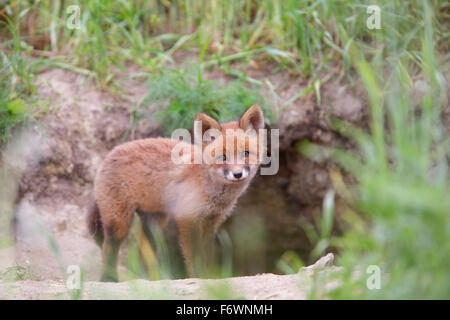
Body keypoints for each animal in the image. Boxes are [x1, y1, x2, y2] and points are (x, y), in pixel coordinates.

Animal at [86, 104, 266, 280]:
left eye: (246, 153)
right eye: (222, 157)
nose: (237, 174)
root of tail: (110, 154)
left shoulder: (211, 222)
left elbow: (208, 254)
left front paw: (212, 279)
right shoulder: (187, 218)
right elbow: (194, 256)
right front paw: (201, 277)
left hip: (154, 222)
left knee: (141, 250)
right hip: (119, 223)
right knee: (108, 249)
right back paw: (109, 279)